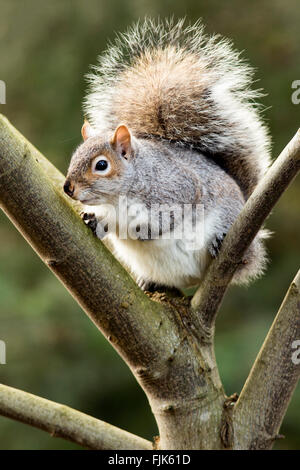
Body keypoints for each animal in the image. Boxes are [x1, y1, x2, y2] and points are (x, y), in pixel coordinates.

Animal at [64, 18, 270, 290]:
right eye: (74, 157)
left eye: (101, 165)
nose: (68, 188)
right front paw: (96, 222)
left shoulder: (178, 189)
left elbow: (163, 222)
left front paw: (136, 230)